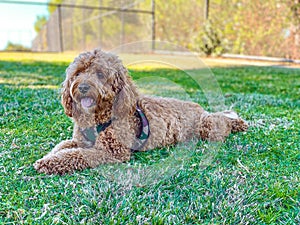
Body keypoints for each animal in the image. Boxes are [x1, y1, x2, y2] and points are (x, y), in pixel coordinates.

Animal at [33, 48, 248, 176]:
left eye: (100, 74)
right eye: (78, 73)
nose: (83, 87)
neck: (99, 118)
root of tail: (199, 108)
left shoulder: (113, 152)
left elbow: (75, 155)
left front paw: (48, 163)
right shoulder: (81, 140)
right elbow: (63, 146)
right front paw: (48, 157)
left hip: (205, 126)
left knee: (222, 122)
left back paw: (238, 123)